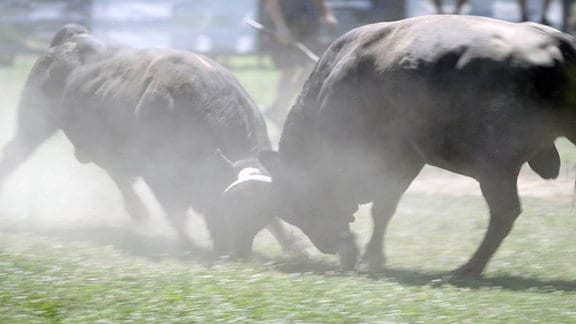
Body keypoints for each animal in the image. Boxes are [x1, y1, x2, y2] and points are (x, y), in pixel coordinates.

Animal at [0, 24, 296, 254]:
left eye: (261, 213)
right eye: (231, 206)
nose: (237, 252)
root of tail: (72, 38)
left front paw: (294, 246)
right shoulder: (159, 176)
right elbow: (175, 214)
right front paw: (188, 245)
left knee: (116, 172)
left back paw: (137, 210)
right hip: (33, 127)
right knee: (15, 155)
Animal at [258, 15, 576, 278]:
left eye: (298, 202)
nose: (327, 245)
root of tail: (557, 44)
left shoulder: (398, 159)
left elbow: (382, 207)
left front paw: (371, 257)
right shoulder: (409, 161)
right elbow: (385, 209)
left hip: (495, 168)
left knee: (504, 212)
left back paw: (466, 269)